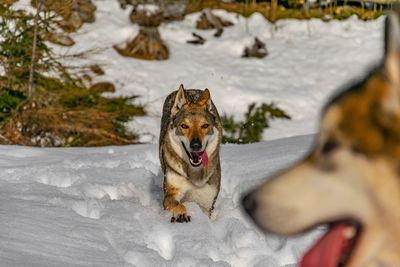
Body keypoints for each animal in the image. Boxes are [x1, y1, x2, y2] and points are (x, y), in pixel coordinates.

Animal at [159, 85, 222, 223]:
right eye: (184, 126)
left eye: (205, 126)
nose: (196, 145)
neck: (195, 175)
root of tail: (190, 89)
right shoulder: (170, 194)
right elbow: (179, 205)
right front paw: (181, 215)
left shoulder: (207, 203)